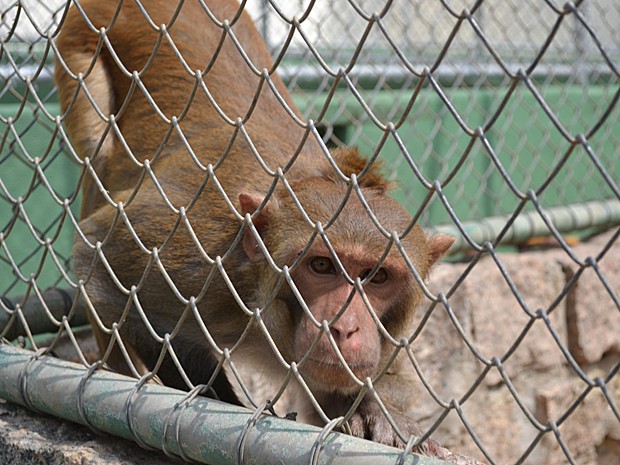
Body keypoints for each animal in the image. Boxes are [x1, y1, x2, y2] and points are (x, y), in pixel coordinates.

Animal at [55, 0, 452, 450]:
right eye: (321, 266)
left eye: (377, 276)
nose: (343, 327)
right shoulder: (195, 255)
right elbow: (104, 263)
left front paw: (373, 412)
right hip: (82, 40)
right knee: (99, 154)